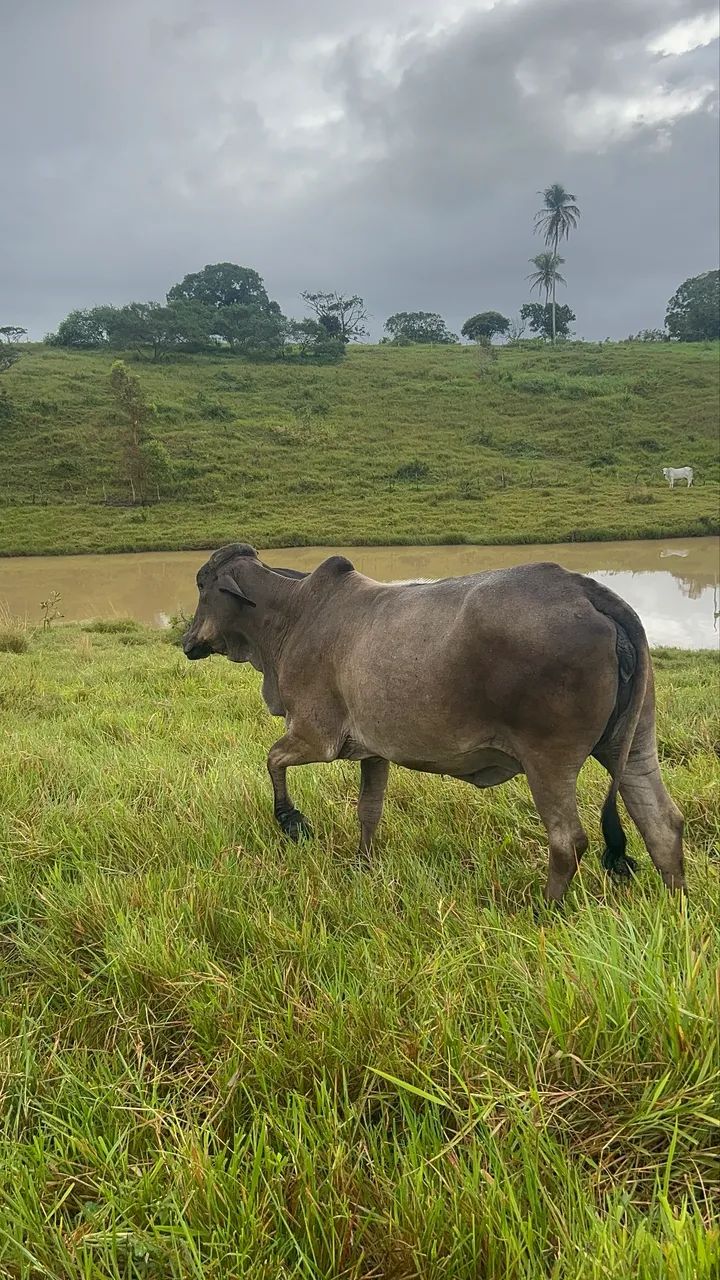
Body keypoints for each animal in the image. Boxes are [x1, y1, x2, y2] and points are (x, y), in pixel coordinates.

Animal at [183, 544, 685, 902]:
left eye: (201, 584)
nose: (186, 640)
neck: (290, 615)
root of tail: (586, 590)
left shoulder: (313, 736)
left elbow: (272, 761)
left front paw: (292, 823)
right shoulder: (373, 750)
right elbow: (369, 811)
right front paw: (363, 866)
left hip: (549, 760)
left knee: (569, 842)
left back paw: (543, 912)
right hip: (633, 744)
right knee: (662, 823)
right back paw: (674, 911)